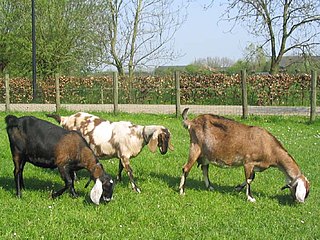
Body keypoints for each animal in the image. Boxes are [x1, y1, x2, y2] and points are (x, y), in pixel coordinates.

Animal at [179, 108, 308, 202]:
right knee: (186, 168)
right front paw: (250, 198)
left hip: (206, 154)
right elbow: (249, 179)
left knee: (204, 168)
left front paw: (237, 188)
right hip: (195, 147)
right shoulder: (248, 162)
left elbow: (252, 177)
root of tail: (191, 122)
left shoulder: (255, 165)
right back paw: (182, 191)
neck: (269, 147)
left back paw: (210, 187)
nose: (299, 202)